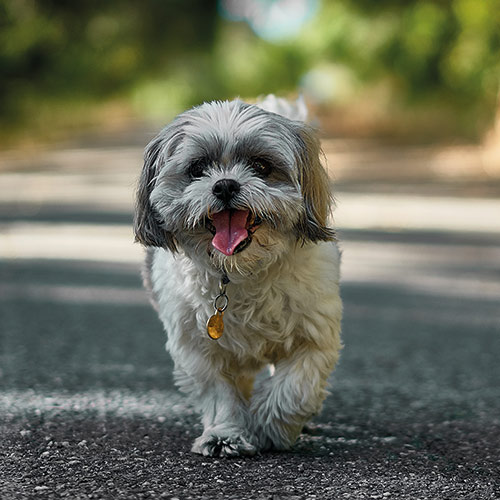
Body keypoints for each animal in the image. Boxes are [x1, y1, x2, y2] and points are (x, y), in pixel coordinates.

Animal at [135, 94, 342, 458]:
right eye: (197, 169)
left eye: (261, 166)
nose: (225, 185)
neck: (240, 273)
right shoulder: (197, 348)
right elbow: (220, 394)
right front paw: (224, 434)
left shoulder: (313, 337)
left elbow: (295, 388)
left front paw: (271, 428)